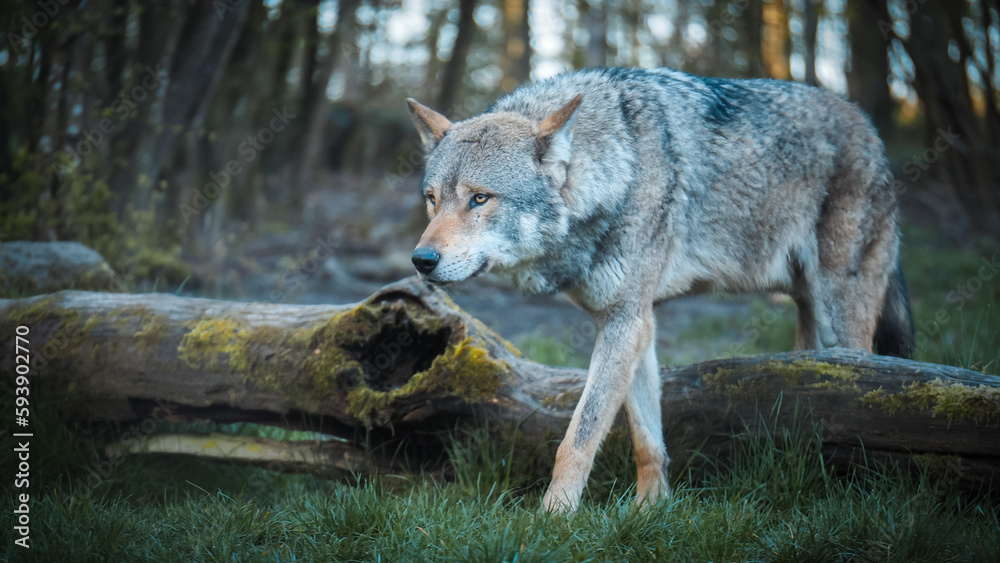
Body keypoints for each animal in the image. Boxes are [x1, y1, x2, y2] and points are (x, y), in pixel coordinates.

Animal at [405, 67, 914, 512]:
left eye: (480, 198)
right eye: (432, 200)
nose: (421, 260)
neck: (618, 172)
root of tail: (867, 125)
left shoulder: (626, 320)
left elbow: (579, 436)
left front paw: (554, 517)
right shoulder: (633, 322)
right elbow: (646, 438)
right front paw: (651, 509)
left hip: (841, 315)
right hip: (810, 321)